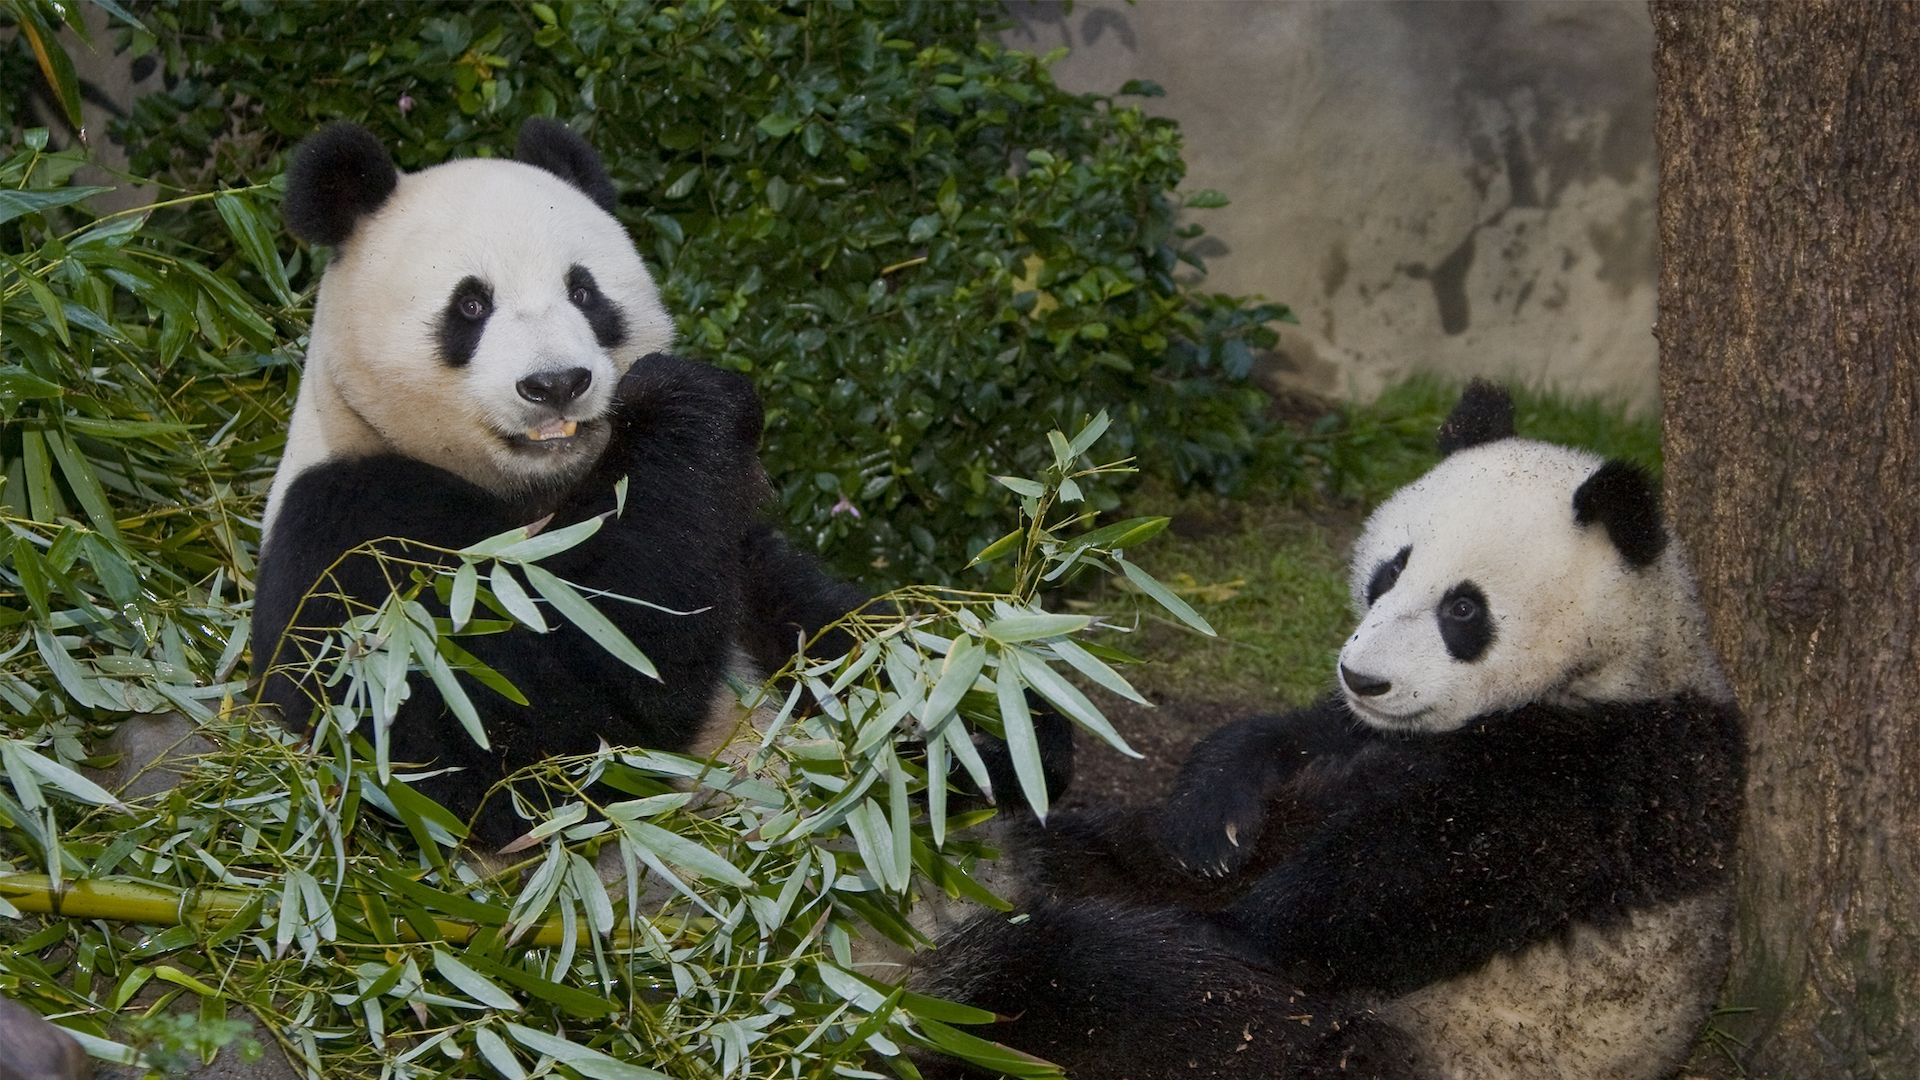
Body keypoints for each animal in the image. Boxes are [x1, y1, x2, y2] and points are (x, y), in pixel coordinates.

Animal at [251, 119, 872, 848]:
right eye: (471, 304)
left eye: (584, 292)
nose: (556, 384)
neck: (540, 489)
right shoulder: (353, 534)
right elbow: (513, 738)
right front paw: (686, 400)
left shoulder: (737, 548)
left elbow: (828, 632)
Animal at [915, 382, 1746, 1080]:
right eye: (1390, 570)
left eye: (1463, 609)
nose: (1364, 678)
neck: (1619, 662)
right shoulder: (1366, 732)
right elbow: (1278, 744)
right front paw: (1208, 827)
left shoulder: (1611, 767)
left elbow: (1395, 886)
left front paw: (1236, 929)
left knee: (1114, 989)